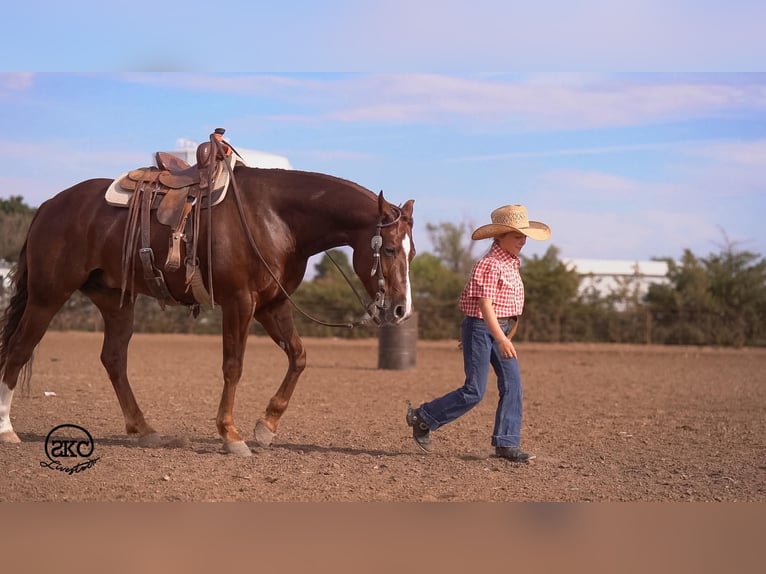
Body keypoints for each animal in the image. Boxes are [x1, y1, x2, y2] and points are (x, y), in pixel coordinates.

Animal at [0, 160, 415, 456]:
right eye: (389, 249)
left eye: (411, 252)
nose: (399, 310)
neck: (275, 217)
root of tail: (49, 206)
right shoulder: (240, 302)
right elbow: (233, 367)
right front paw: (231, 436)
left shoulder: (272, 304)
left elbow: (298, 357)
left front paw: (266, 426)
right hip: (47, 296)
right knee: (19, 349)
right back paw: (7, 429)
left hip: (114, 300)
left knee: (113, 359)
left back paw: (146, 430)